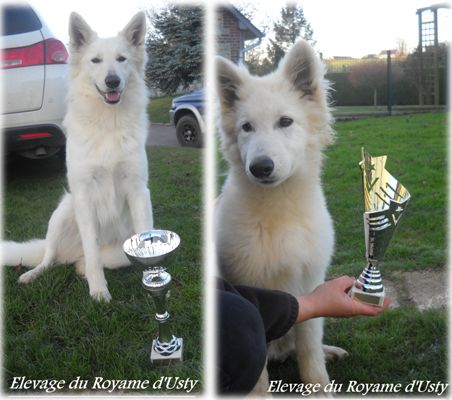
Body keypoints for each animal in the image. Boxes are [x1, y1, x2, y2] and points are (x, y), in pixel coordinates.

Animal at [2, 10, 154, 302]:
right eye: (95, 60)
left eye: (122, 59)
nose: (112, 81)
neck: (107, 124)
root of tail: (70, 252)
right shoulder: (84, 195)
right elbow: (92, 253)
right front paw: (99, 291)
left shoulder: (138, 190)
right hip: (63, 212)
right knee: (51, 257)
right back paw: (34, 273)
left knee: (96, 259)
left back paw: (79, 266)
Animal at [215, 40, 346, 390]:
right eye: (246, 127)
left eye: (285, 122)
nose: (260, 168)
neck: (279, 210)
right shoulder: (249, 285)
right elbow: (259, 378)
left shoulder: (309, 283)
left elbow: (310, 348)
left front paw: (319, 389)